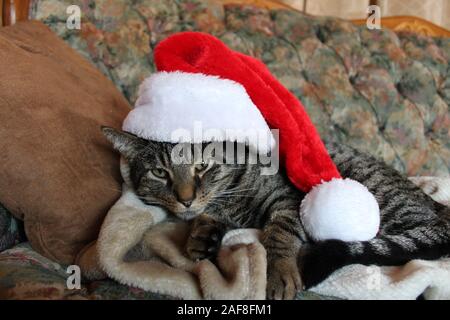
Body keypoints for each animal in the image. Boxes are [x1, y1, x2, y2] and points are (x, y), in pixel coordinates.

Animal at [102, 127, 450, 300]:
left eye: (201, 166)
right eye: (160, 173)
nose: (186, 199)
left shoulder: (288, 200)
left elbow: (278, 235)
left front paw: (279, 273)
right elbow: (209, 218)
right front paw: (202, 234)